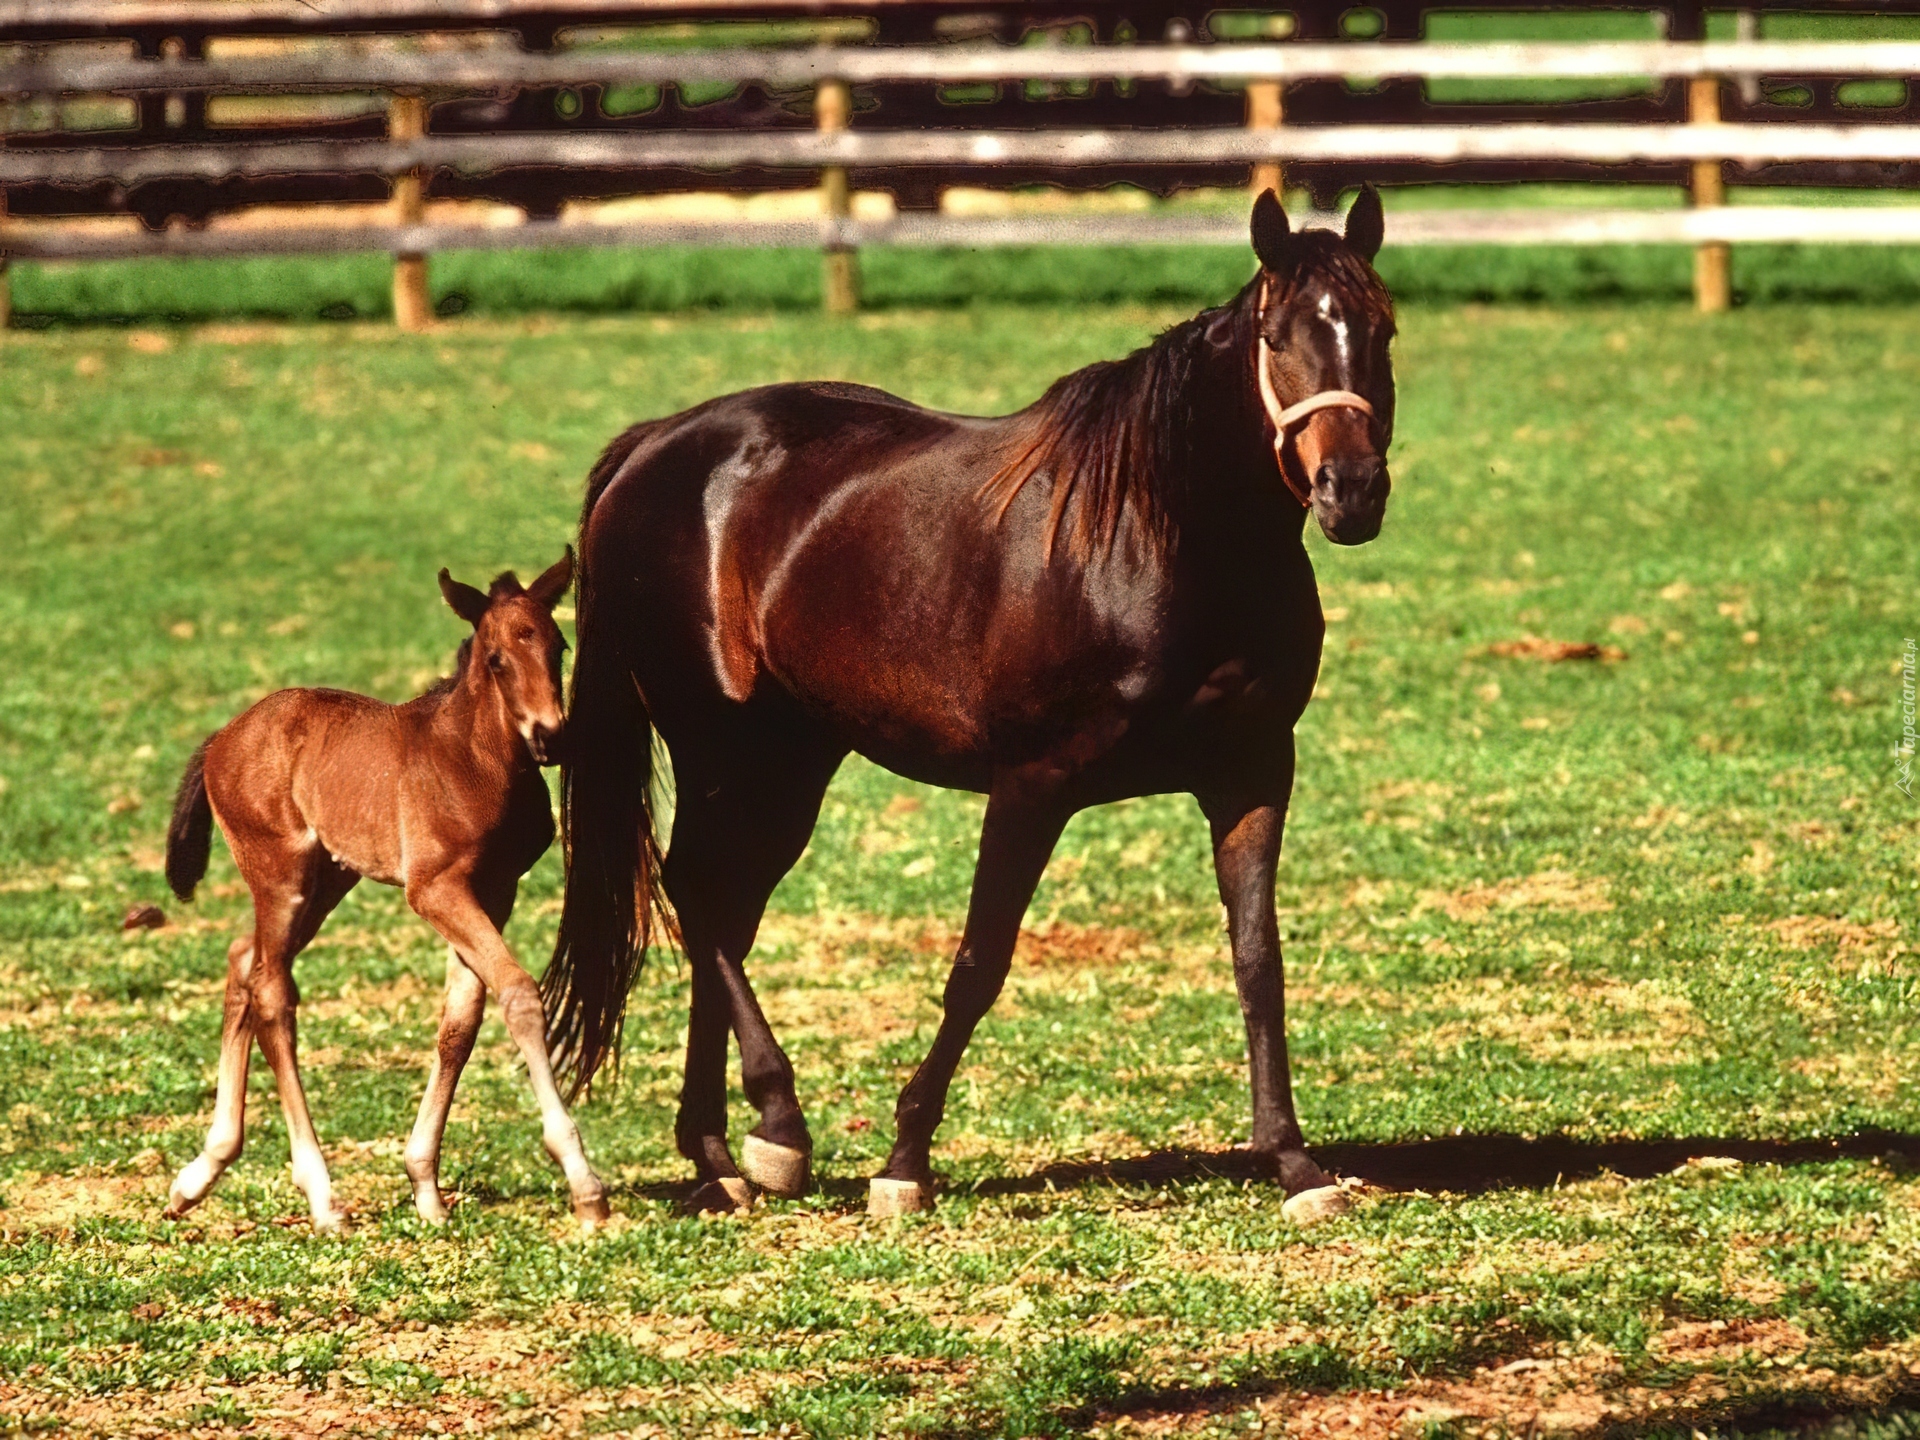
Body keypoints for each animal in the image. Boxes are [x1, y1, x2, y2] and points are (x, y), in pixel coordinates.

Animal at [169, 549, 610, 1228]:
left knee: (245, 960)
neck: (474, 760)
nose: (550, 735)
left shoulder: (494, 889)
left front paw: (425, 1185)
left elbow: (460, 1023)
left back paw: (201, 1171)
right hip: (281, 874)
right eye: (496, 659)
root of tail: (222, 737)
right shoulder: (434, 890)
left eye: (558, 646)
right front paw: (584, 1184)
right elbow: (517, 994)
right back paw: (322, 1196)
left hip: (328, 879)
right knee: (272, 991)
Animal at [541, 192, 1397, 1221]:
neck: (1159, 538)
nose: (1352, 491)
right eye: (1278, 337)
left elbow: (1257, 963)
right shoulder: (1031, 785)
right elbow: (979, 964)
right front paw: (905, 1162)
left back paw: (721, 1151)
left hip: (789, 762)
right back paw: (778, 1123)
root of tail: (657, 446)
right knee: (699, 898)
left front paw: (1297, 1165)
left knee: (724, 910)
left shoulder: (1253, 774)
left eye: (1383, 330)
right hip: (720, 746)